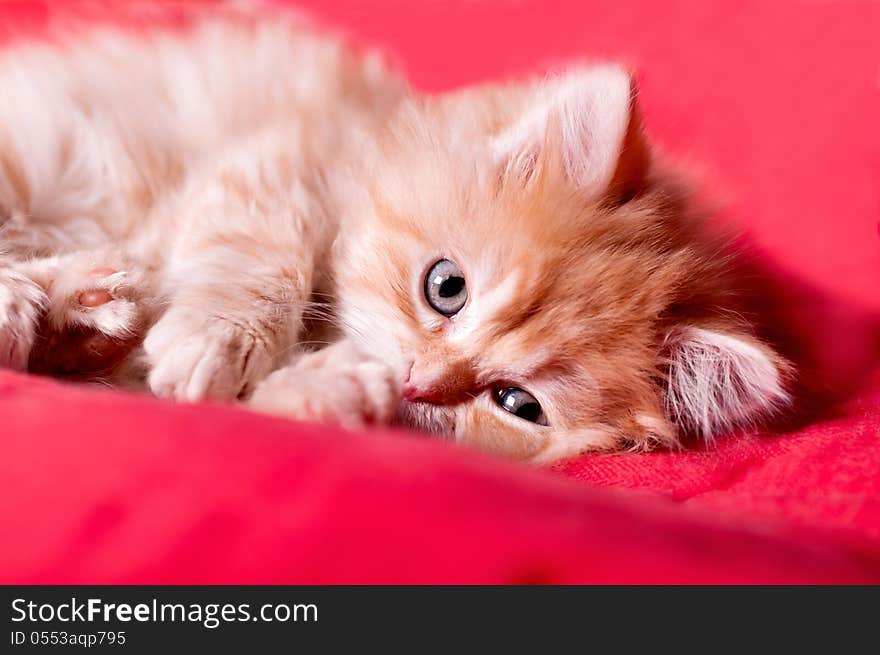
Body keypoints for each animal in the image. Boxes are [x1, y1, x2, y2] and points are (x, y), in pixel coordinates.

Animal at [0, 7, 796, 464]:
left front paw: (335, 392)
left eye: (517, 404)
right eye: (446, 288)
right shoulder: (280, 160)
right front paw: (216, 341)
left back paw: (83, 312)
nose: (419, 380)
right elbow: (261, 259)